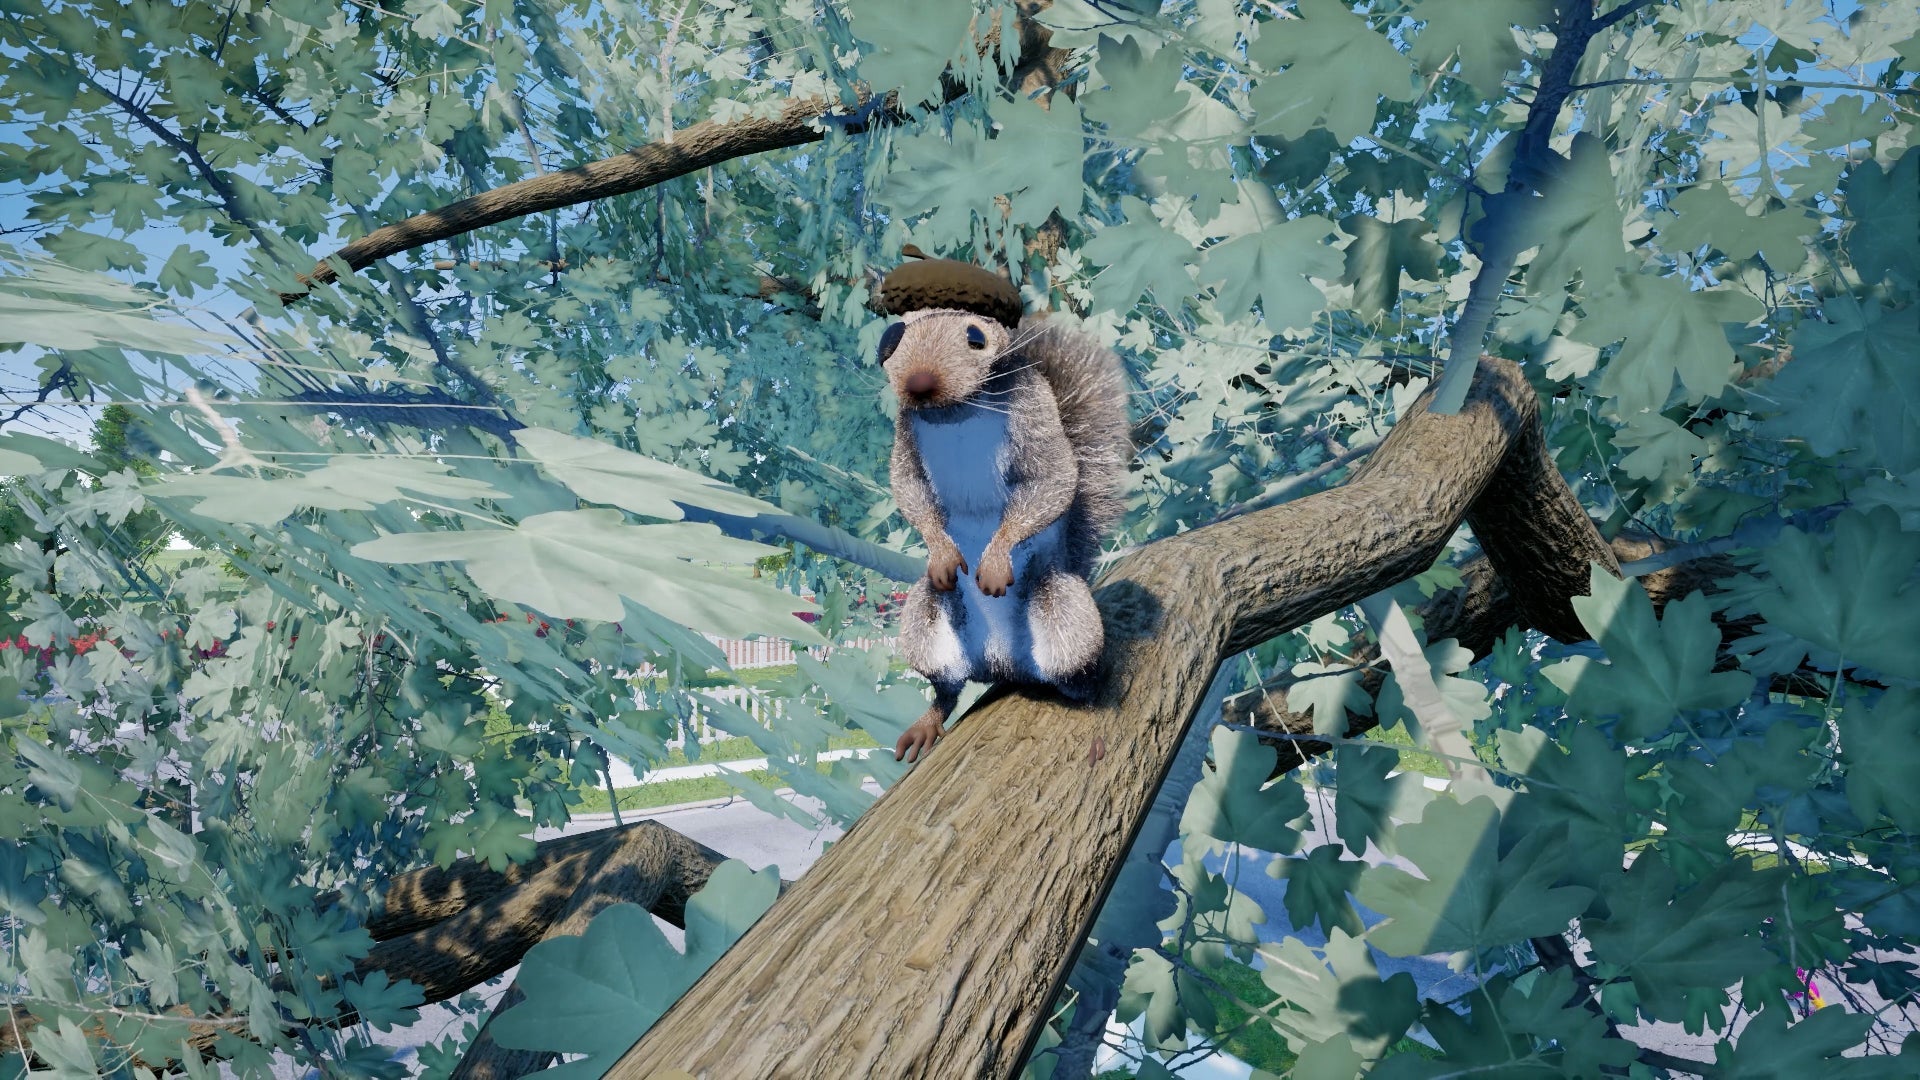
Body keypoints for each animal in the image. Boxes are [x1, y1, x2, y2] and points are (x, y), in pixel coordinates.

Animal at [875, 249, 1130, 763]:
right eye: (890, 340)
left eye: (976, 336)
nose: (919, 383)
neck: (956, 414)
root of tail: (1004, 665)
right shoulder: (905, 436)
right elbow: (909, 488)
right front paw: (941, 552)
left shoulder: (1034, 412)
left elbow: (1052, 479)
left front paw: (994, 562)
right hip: (926, 622)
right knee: (946, 688)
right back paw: (927, 723)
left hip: (1065, 618)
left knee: (1082, 677)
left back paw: (1094, 713)